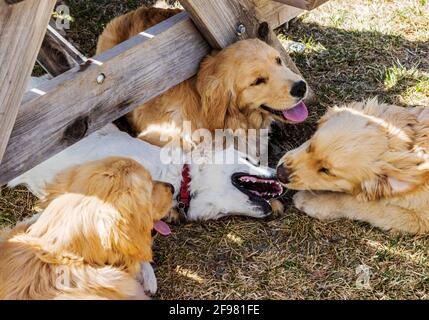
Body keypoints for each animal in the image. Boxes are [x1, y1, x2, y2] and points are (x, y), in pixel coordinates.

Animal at [276, 99, 428, 234]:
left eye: (327, 171)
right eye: (311, 145)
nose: (280, 173)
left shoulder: (419, 218)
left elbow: (362, 204)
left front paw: (311, 201)